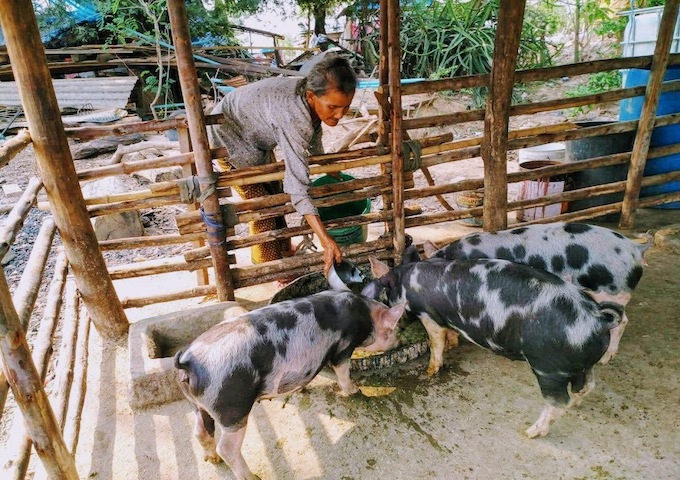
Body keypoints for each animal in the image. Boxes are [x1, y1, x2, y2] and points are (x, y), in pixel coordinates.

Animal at [174, 288, 404, 480]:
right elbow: (342, 371)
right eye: (394, 331)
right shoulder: (344, 346)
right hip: (231, 407)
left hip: (199, 404)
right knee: (228, 448)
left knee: (200, 432)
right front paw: (355, 390)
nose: (400, 342)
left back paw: (212, 459)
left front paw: (302, 388)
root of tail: (190, 362)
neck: (367, 316)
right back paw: (252, 477)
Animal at [364, 256, 624, 436]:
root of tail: (597, 319)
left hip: (550, 369)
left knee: (558, 402)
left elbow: (435, 341)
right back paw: (577, 404)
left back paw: (529, 432)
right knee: (587, 386)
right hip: (582, 365)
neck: (407, 283)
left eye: (384, 294)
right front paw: (451, 345)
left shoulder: (429, 316)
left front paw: (430, 371)